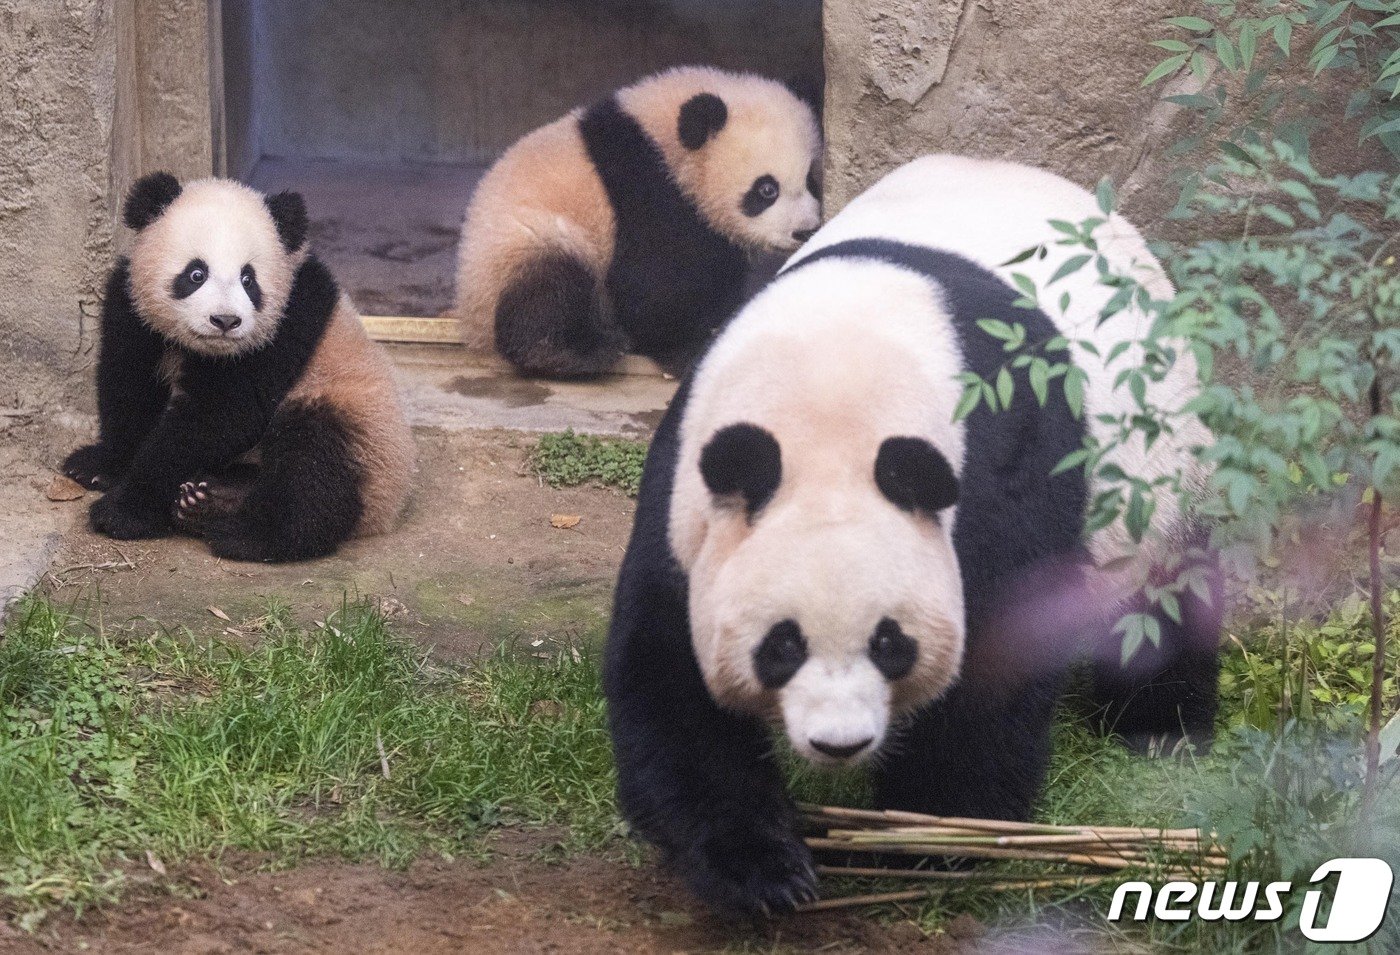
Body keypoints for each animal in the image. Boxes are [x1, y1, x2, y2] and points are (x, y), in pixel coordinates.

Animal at [64, 172, 414, 562]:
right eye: (196, 273)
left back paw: (249, 533)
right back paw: (208, 500)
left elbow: (219, 417)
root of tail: (387, 509)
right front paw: (97, 466)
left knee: (313, 460)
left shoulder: (287, 325)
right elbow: (129, 388)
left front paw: (122, 511)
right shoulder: (134, 312)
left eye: (249, 280)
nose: (225, 320)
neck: (202, 349)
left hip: (358, 419)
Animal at [453, 66, 817, 375]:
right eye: (767, 189)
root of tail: (471, 321)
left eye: (812, 179)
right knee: (549, 288)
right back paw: (576, 351)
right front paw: (690, 347)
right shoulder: (642, 188)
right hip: (522, 244)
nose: (805, 231)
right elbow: (655, 282)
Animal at [607, 158, 1220, 912]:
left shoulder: (996, 470)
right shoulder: (688, 496)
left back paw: (1161, 729)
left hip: (1159, 462)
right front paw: (761, 867)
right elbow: (667, 668)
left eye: (889, 642)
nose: (839, 743)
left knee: (1162, 592)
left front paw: (930, 834)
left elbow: (996, 658)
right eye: (781, 645)